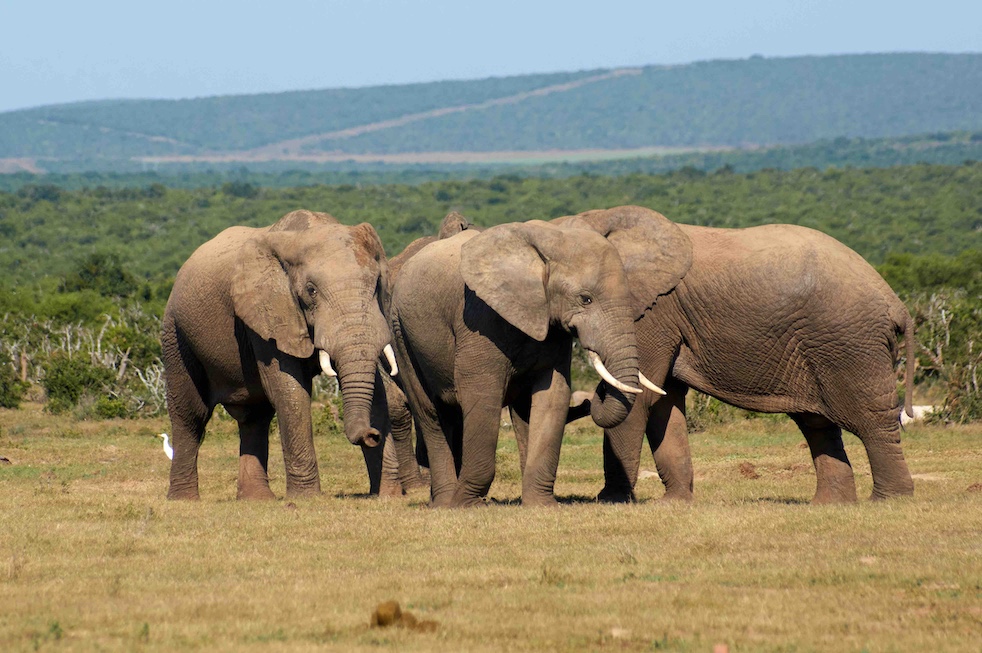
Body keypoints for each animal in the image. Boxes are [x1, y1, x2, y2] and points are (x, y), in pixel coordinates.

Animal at [161, 209, 400, 500]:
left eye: (377, 285)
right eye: (311, 290)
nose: (372, 435)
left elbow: (378, 390)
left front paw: (388, 496)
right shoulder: (266, 313)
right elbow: (290, 392)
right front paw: (307, 499)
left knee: (255, 418)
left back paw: (256, 500)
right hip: (176, 333)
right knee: (190, 414)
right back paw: (184, 499)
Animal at [390, 217, 691, 507]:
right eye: (585, 299)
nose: (593, 396)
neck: (548, 243)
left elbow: (553, 396)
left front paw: (541, 505)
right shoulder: (478, 319)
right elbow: (482, 396)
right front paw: (466, 505)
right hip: (401, 333)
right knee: (430, 413)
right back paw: (444, 502)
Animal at [555, 206, 916, 504]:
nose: (587, 400)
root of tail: (895, 302)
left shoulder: (651, 310)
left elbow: (641, 398)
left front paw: (610, 501)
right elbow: (664, 401)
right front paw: (673, 504)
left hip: (850, 343)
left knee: (870, 419)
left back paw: (888, 501)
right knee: (818, 423)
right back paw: (829, 505)